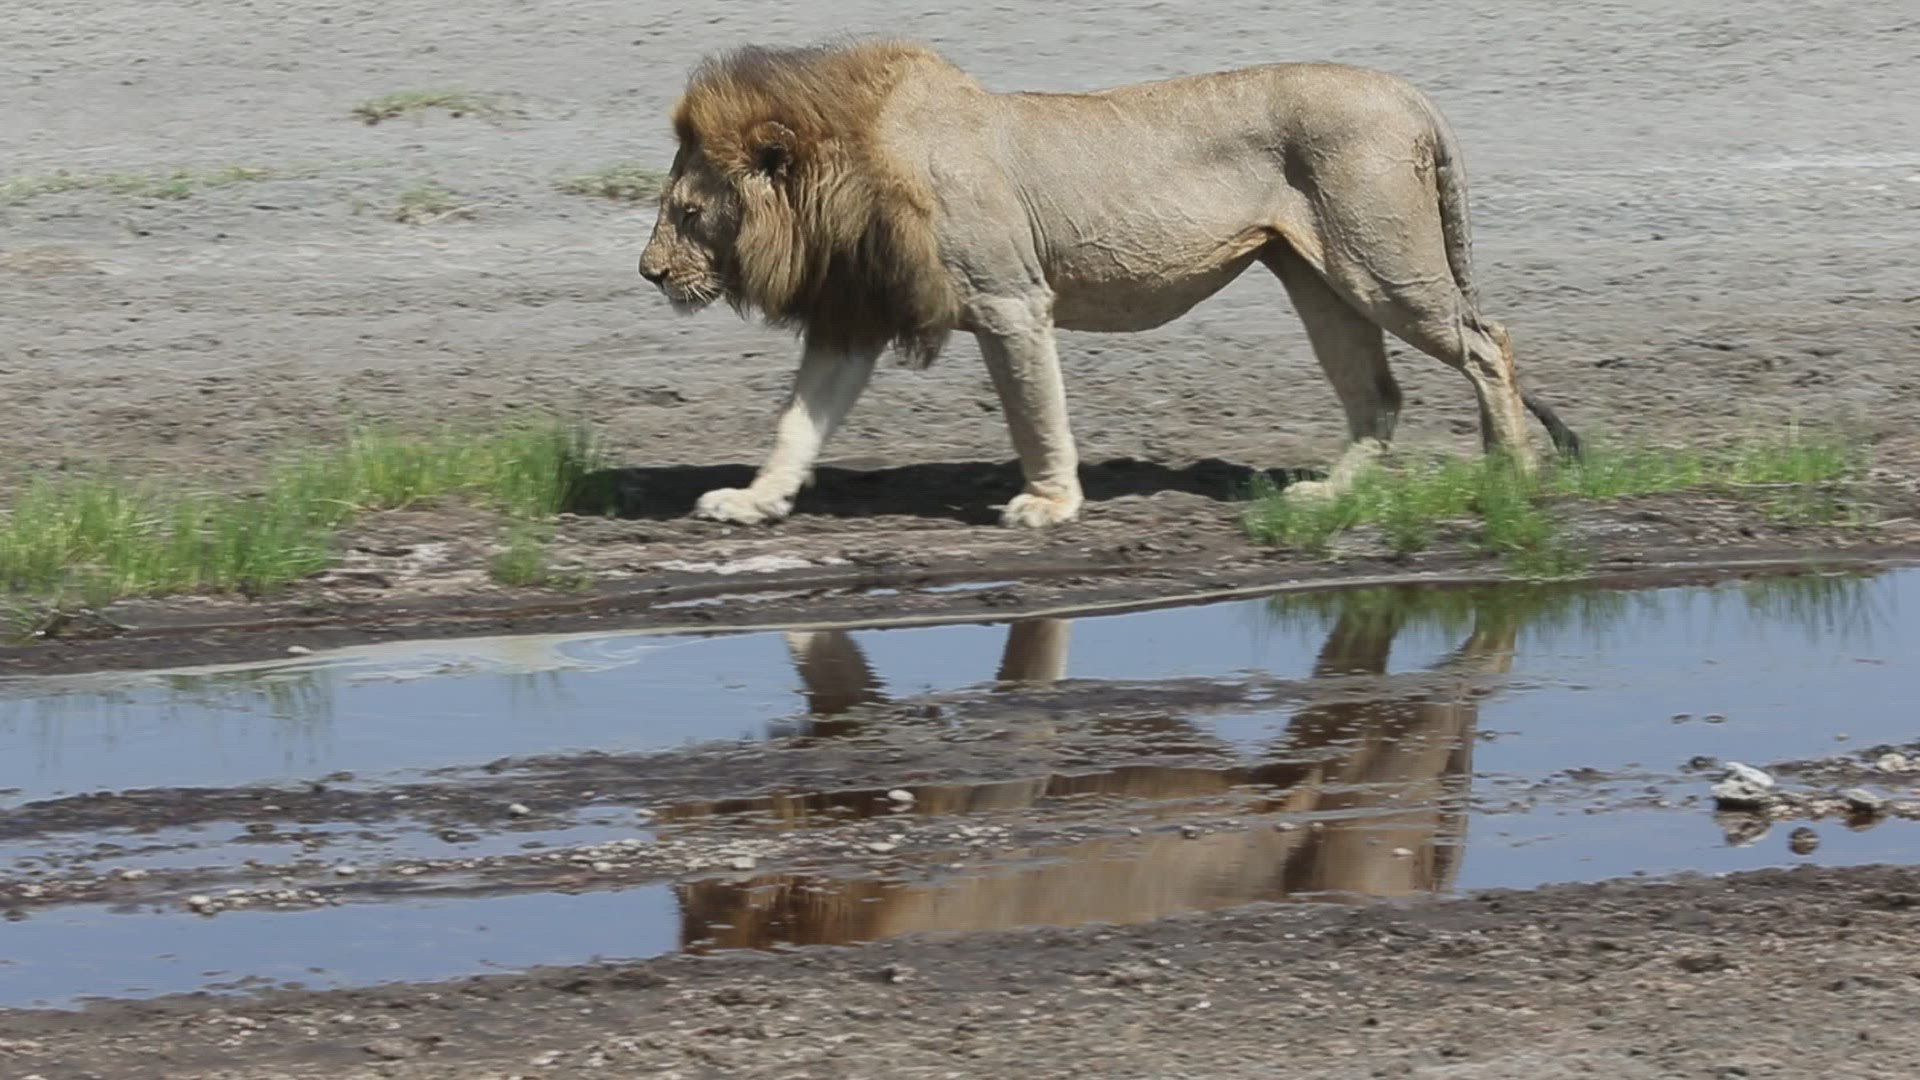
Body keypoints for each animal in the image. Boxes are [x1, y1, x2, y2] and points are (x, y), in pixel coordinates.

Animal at [637, 40, 1581, 528]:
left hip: (1376, 262)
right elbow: (799, 421)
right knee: (1379, 393)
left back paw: (1509, 473)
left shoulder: (1010, 299)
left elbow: (1035, 411)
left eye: (687, 211)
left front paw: (1050, 504)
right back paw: (1331, 491)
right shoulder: (856, 313)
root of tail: (1411, 93)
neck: (847, 184)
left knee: (1486, 341)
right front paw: (754, 500)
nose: (649, 272)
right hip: (1318, 276)